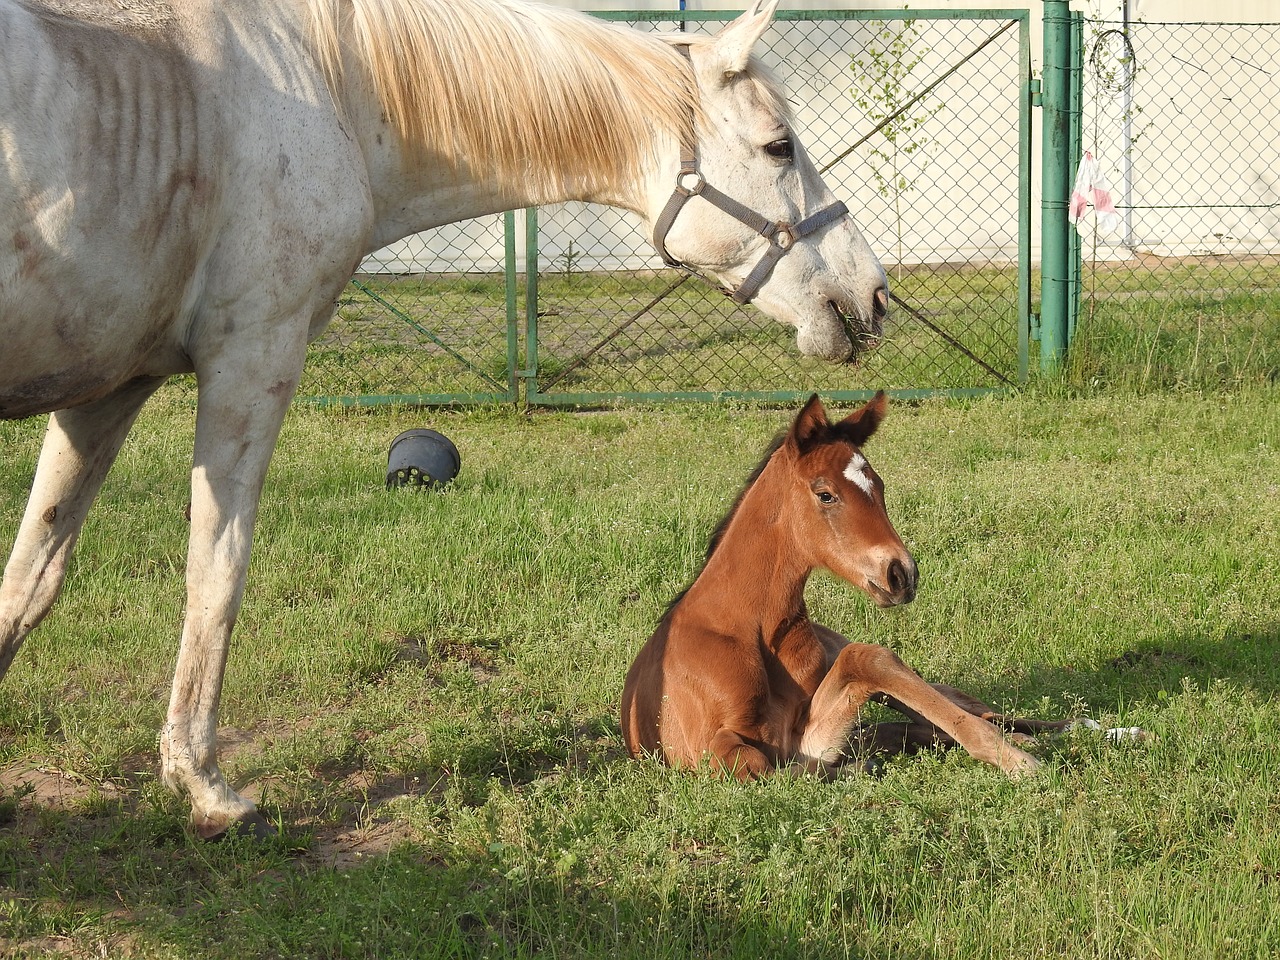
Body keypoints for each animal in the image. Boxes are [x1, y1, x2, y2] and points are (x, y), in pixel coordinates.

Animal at [0, 0, 885, 839]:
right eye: (779, 147)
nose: (871, 294)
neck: (326, 84)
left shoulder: (108, 389)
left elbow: (31, 577)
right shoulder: (252, 359)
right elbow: (215, 575)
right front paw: (204, 787)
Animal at [619, 394, 1070, 778]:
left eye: (879, 486)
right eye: (826, 494)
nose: (901, 573)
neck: (749, 626)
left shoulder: (802, 725)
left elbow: (870, 659)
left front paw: (1011, 756)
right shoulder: (712, 747)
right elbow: (764, 763)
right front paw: (858, 764)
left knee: (962, 708)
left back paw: (1059, 727)